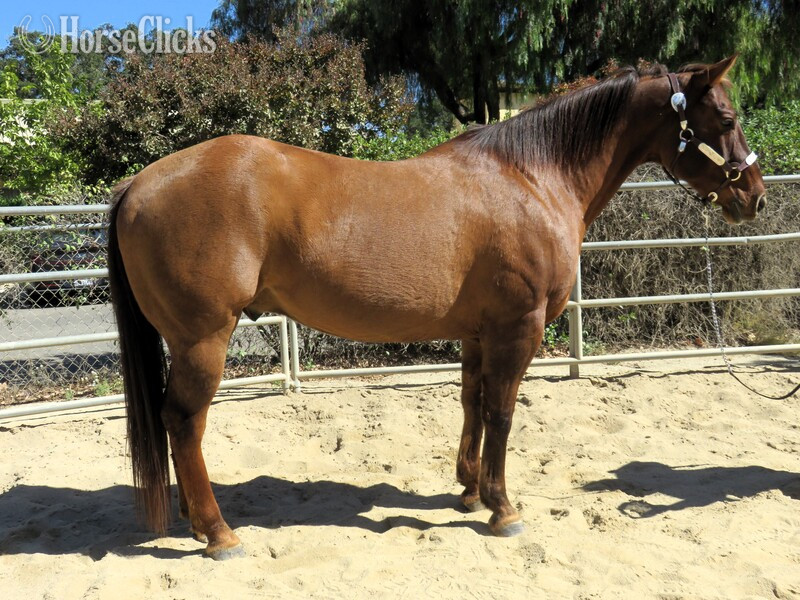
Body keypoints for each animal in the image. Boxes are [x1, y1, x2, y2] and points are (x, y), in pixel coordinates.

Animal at [107, 55, 766, 559]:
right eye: (726, 117)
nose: (754, 198)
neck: (530, 177)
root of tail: (137, 184)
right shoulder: (518, 328)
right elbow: (503, 412)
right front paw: (502, 508)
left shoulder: (477, 333)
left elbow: (472, 403)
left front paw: (470, 491)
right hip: (203, 339)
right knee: (184, 422)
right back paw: (219, 533)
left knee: (174, 424)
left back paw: (197, 523)